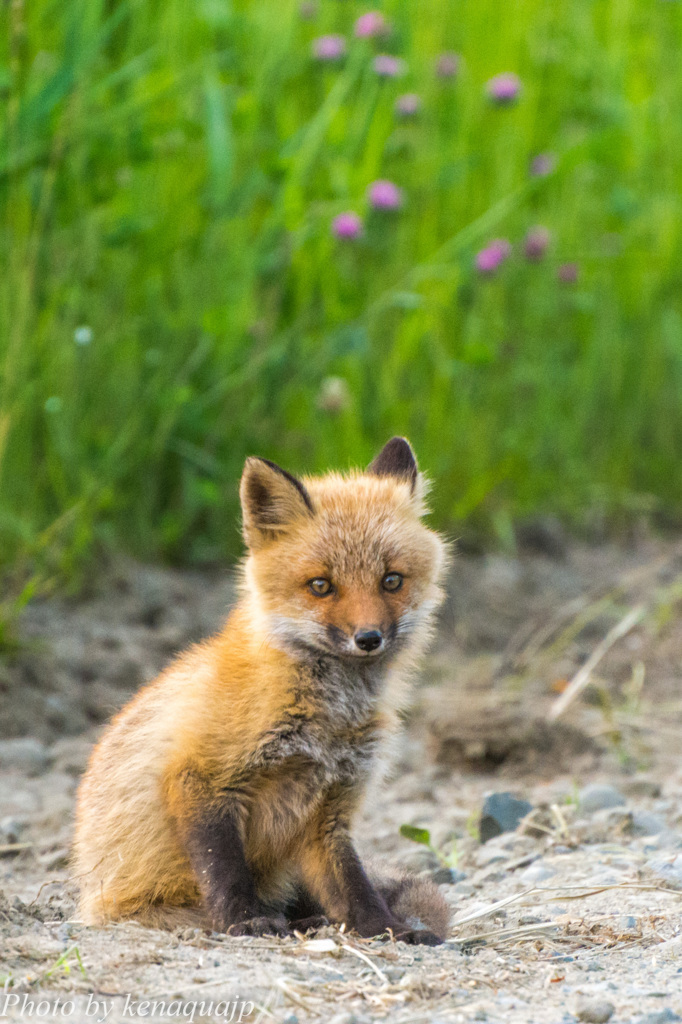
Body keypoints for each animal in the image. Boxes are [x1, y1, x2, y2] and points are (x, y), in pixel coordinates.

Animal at [73, 436, 446, 946]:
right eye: (321, 585)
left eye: (392, 580)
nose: (369, 638)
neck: (326, 717)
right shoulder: (201, 778)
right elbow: (225, 870)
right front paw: (245, 921)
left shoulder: (330, 810)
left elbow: (353, 883)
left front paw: (383, 929)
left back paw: (310, 921)